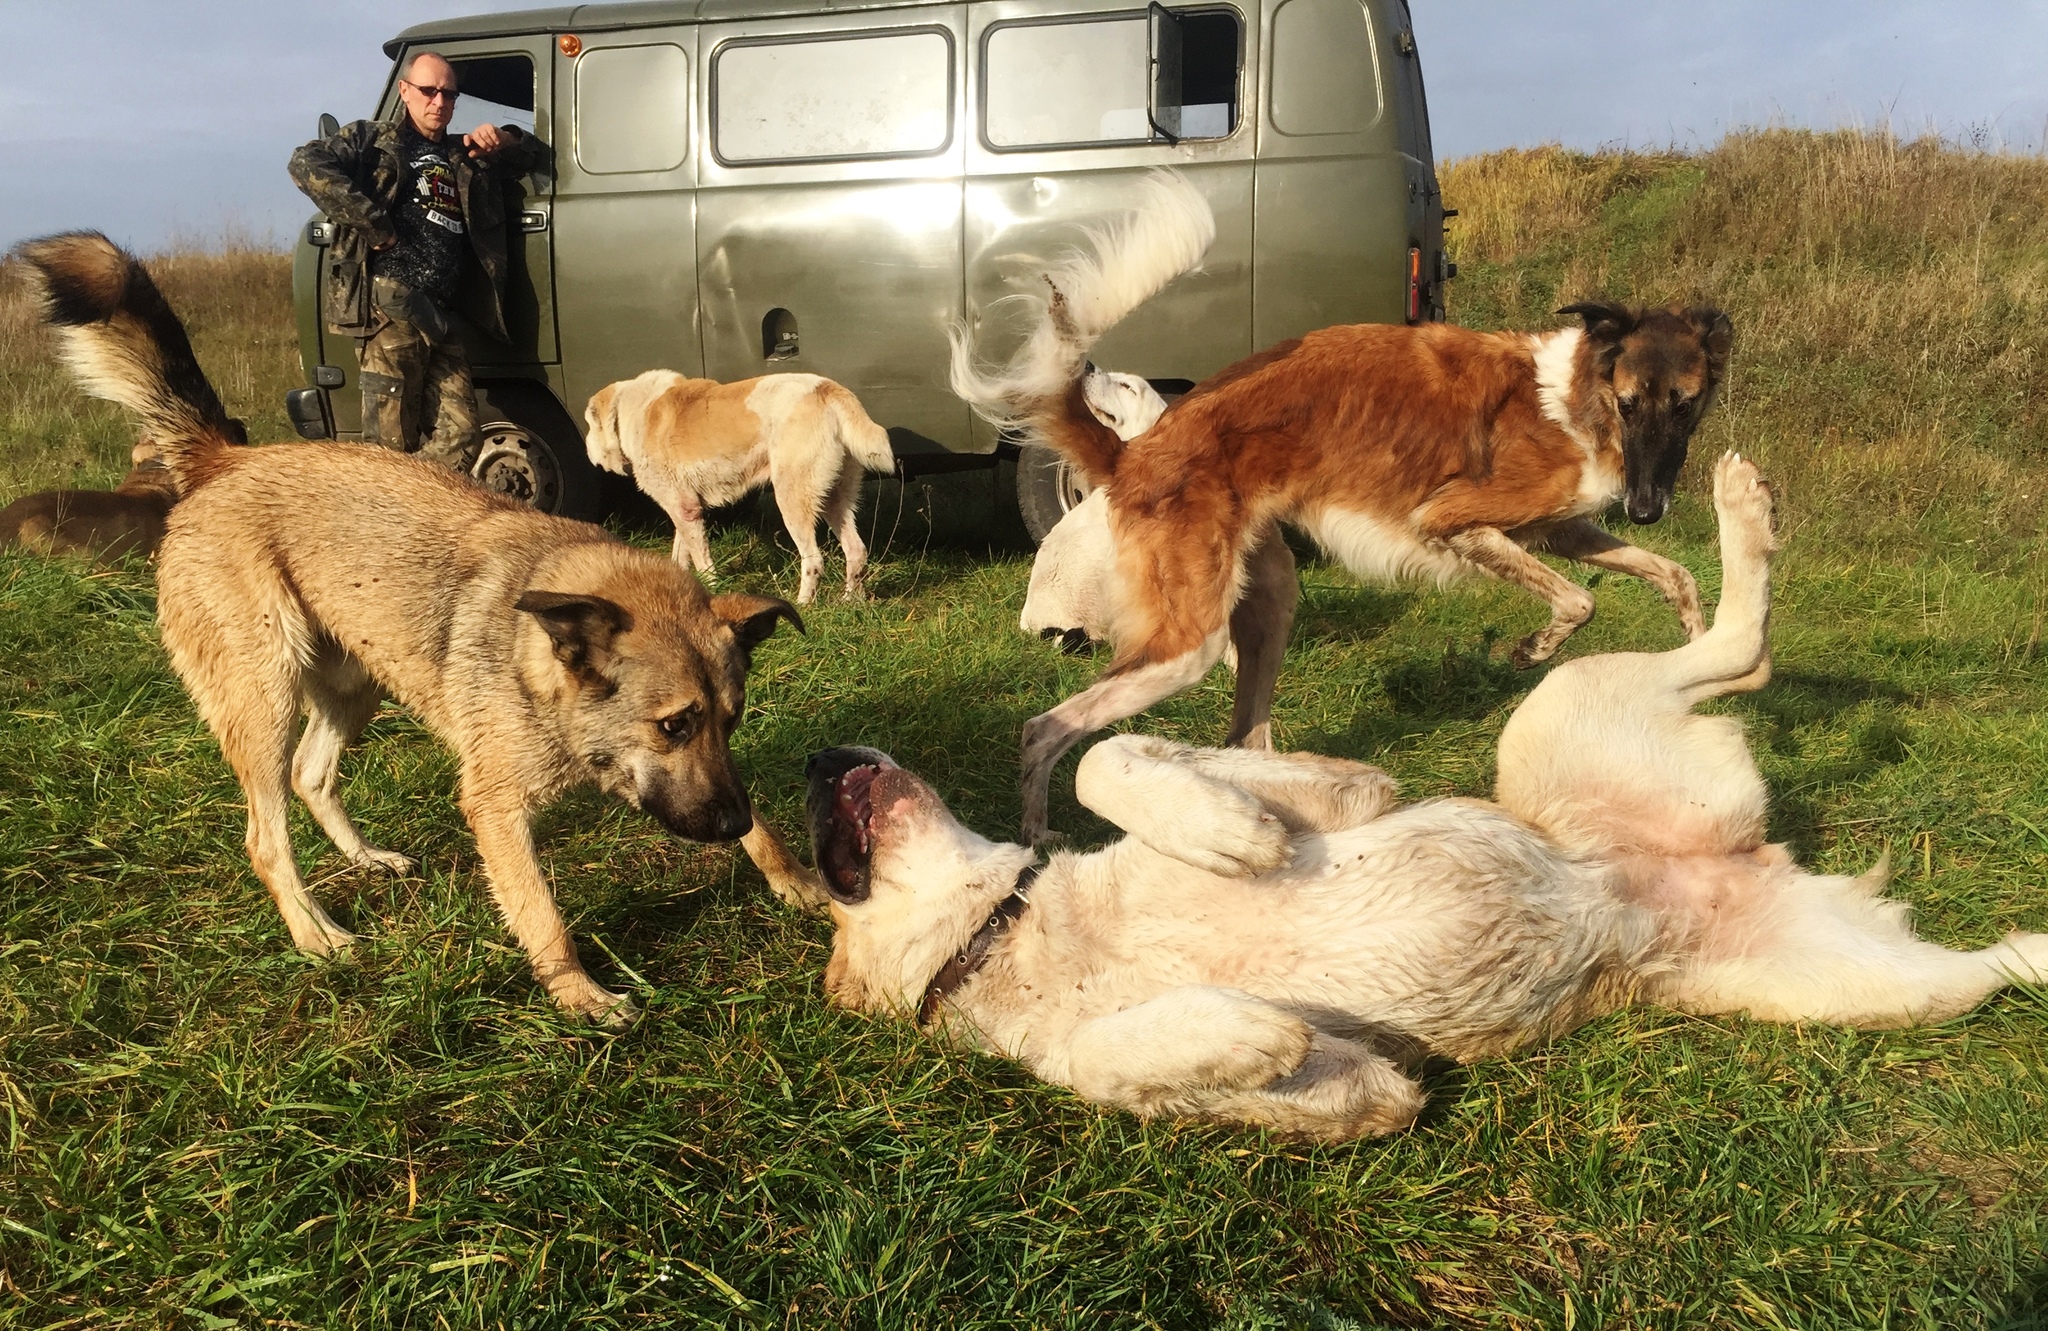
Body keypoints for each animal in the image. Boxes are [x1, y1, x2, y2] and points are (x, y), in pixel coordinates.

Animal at [18, 228, 823, 1019]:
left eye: (731, 719)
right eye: (673, 725)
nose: (725, 825)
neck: (539, 658)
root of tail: (227, 460)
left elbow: (760, 821)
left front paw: (794, 877)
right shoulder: (495, 808)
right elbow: (541, 913)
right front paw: (582, 997)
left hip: (357, 685)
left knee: (312, 774)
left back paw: (367, 860)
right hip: (264, 702)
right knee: (264, 838)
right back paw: (317, 935)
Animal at [581, 370, 892, 602]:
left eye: (588, 425)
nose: (585, 451)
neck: (634, 410)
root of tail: (827, 389)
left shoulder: (685, 511)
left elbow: (702, 562)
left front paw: (711, 592)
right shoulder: (683, 508)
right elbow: (680, 555)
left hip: (792, 499)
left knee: (814, 560)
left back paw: (804, 606)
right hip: (836, 500)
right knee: (856, 551)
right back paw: (851, 603)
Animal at [802, 452, 2048, 1130]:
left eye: (824, 871)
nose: (811, 761)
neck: (1014, 933)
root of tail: (1708, 868)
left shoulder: (1345, 787)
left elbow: (1117, 761)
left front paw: (1232, 837)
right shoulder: (1366, 1091)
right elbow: (1133, 1055)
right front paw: (1245, 1026)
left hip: (1549, 716)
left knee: (1735, 644)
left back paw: (1742, 509)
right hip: (1847, 987)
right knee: (1974, 957)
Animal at [950, 170, 1736, 835]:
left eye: (1686, 405)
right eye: (1631, 402)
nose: (1648, 508)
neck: (1575, 394)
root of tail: (1135, 451)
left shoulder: (1556, 529)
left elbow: (1674, 575)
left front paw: (1700, 650)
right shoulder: (1455, 521)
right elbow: (1580, 600)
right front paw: (1533, 649)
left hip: (1268, 603)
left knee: (1244, 735)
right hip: (1187, 644)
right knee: (1043, 728)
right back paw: (1036, 834)